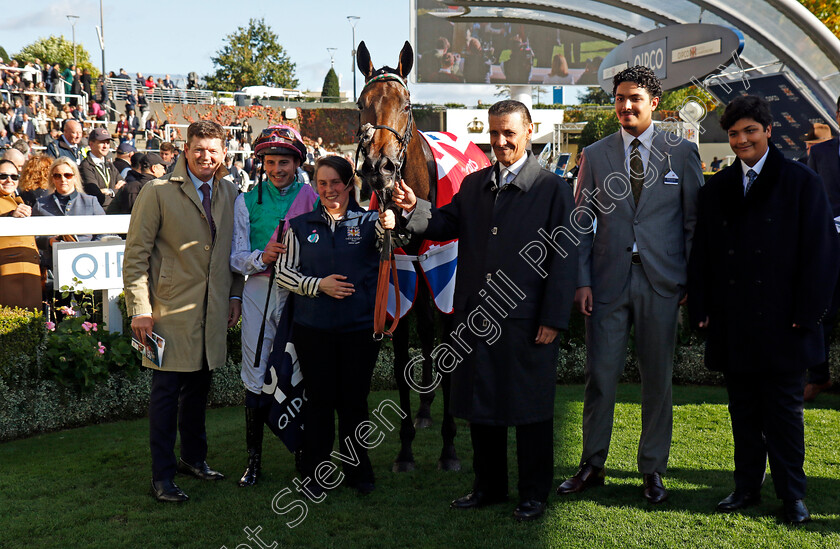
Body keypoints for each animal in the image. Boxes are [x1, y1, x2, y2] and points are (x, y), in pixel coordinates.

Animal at [352, 41, 460, 470]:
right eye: (361, 103)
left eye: (407, 104)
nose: (378, 167)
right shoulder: (399, 273)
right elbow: (399, 360)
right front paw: (406, 447)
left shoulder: (447, 273)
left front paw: (449, 448)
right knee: (425, 330)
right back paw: (426, 408)